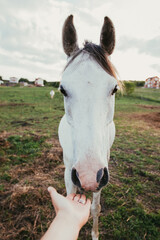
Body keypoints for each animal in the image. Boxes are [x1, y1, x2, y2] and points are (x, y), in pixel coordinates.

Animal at [58, 15, 118, 240]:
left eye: (114, 88)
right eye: (62, 89)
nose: (88, 176)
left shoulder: (102, 173)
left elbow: (94, 208)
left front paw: (94, 234)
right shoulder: (69, 172)